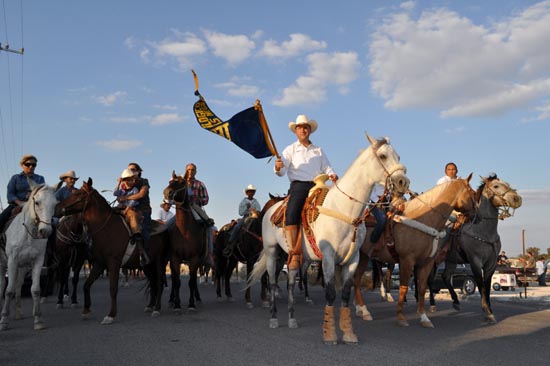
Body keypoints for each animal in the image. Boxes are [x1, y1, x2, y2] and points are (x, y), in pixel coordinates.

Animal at [0, 183, 57, 332]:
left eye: (55, 204)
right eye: (37, 202)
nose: (45, 231)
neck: (28, 234)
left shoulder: (37, 261)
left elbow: (35, 290)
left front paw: (38, 320)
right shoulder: (12, 261)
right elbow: (8, 290)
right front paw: (4, 320)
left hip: (22, 267)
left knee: (18, 285)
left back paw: (18, 313)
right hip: (3, 265)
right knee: (3, 285)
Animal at [55, 179, 169, 324]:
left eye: (78, 194)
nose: (57, 208)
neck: (106, 227)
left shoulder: (113, 262)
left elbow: (113, 288)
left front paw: (111, 315)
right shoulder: (99, 263)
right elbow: (87, 284)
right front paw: (86, 310)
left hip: (160, 261)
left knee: (159, 283)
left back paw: (157, 309)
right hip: (147, 265)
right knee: (153, 283)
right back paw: (150, 306)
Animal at [248, 135, 412, 346]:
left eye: (397, 156)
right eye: (383, 156)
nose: (403, 182)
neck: (345, 210)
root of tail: (270, 211)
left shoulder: (352, 259)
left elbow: (345, 294)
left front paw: (349, 334)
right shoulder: (327, 257)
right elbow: (331, 293)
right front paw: (329, 334)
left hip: (291, 257)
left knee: (290, 283)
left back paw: (292, 319)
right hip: (271, 252)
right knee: (273, 282)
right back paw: (274, 319)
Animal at [354, 176, 478, 328]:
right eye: (473, 193)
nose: (477, 216)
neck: (423, 219)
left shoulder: (427, 262)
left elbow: (422, 288)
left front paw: (424, 317)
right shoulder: (407, 260)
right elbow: (404, 287)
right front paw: (401, 317)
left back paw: (359, 309)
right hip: (362, 256)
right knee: (356, 279)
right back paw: (364, 311)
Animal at [438, 174, 524, 324]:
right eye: (496, 186)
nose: (517, 199)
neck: (482, 230)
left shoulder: (491, 263)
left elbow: (487, 285)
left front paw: (489, 310)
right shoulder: (475, 261)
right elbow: (481, 284)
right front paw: (487, 311)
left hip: (451, 260)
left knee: (445, 276)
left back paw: (456, 302)